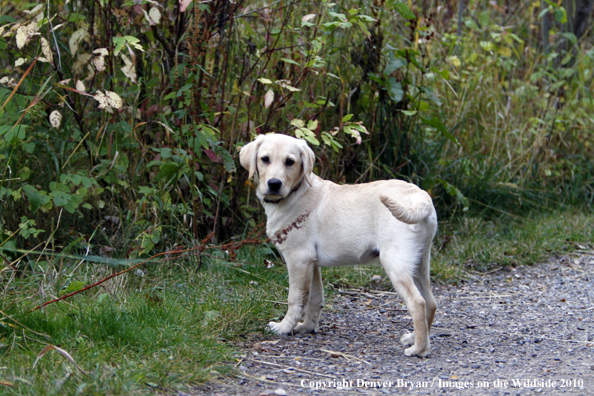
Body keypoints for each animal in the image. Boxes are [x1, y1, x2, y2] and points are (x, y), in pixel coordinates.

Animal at [238, 134, 438, 358]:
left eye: (290, 162)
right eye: (265, 159)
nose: (274, 184)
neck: (297, 192)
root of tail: (420, 196)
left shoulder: (298, 260)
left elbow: (295, 299)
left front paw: (284, 327)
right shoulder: (311, 264)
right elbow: (314, 298)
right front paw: (307, 327)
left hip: (395, 262)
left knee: (418, 302)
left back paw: (418, 349)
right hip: (420, 262)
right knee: (430, 302)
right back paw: (415, 338)